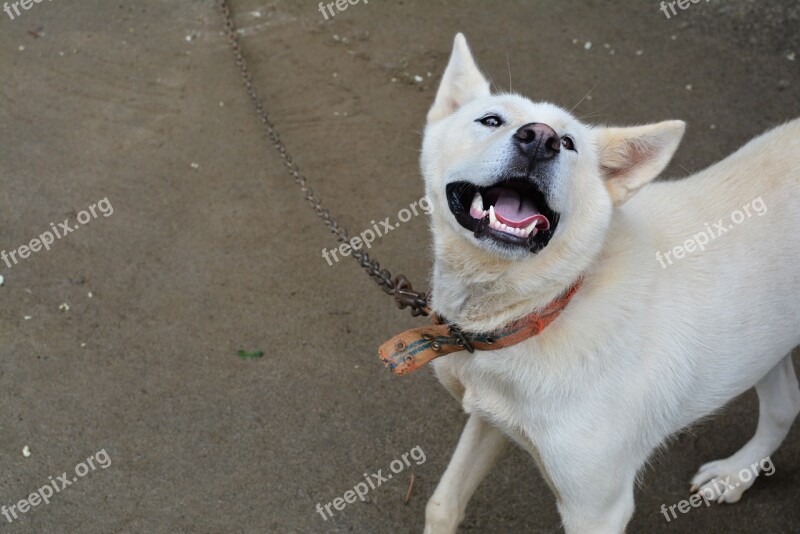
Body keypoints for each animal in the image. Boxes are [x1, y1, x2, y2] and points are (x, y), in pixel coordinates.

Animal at [418, 35, 800, 532]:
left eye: (568, 143)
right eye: (491, 120)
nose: (540, 139)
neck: (544, 308)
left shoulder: (597, 509)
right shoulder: (488, 417)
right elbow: (442, 504)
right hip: (765, 338)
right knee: (785, 403)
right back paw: (738, 473)